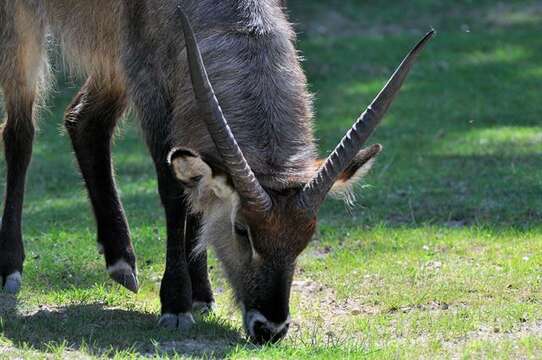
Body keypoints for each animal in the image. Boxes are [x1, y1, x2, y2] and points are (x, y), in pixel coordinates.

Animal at [0, 0, 434, 344]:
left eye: (307, 237)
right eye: (242, 229)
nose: (270, 328)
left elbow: (197, 192)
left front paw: (201, 294)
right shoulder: (151, 87)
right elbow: (175, 192)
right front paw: (176, 304)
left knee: (85, 121)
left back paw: (121, 260)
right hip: (23, 30)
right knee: (20, 133)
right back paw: (11, 269)